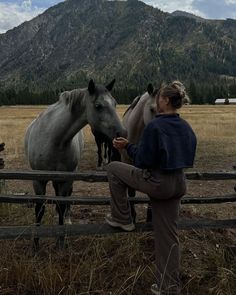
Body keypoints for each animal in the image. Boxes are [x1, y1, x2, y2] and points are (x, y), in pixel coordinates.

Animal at [24, 79, 126, 250]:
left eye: (115, 103)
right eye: (98, 106)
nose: (122, 133)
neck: (54, 139)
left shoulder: (65, 178)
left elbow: (61, 205)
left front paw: (60, 241)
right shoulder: (38, 180)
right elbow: (39, 209)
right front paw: (36, 244)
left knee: (66, 198)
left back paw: (67, 219)